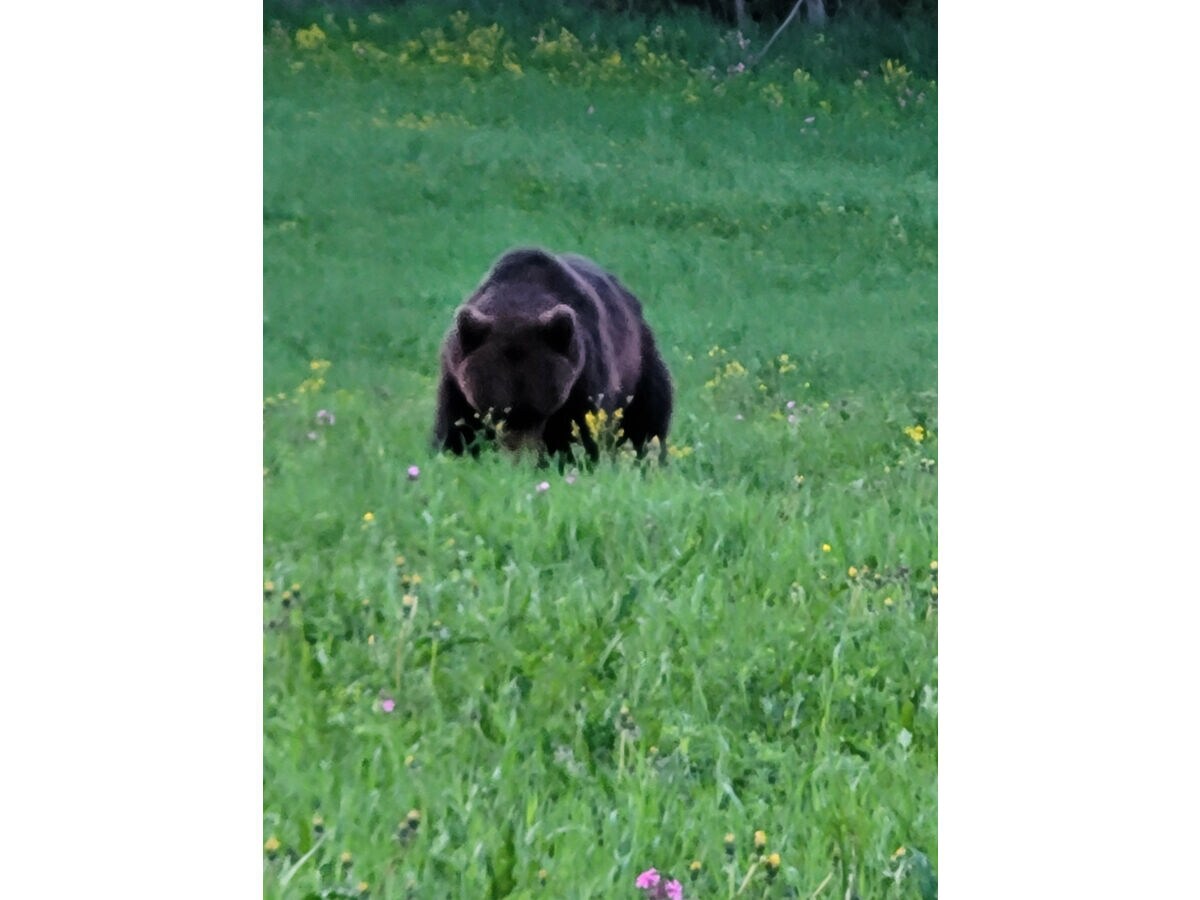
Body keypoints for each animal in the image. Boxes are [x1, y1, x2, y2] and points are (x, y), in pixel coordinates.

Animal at [434, 250, 676, 460]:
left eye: (540, 411)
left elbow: (583, 427)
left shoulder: (583, 376)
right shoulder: (455, 379)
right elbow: (454, 427)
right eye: (496, 411)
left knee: (648, 420)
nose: (521, 455)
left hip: (640, 366)